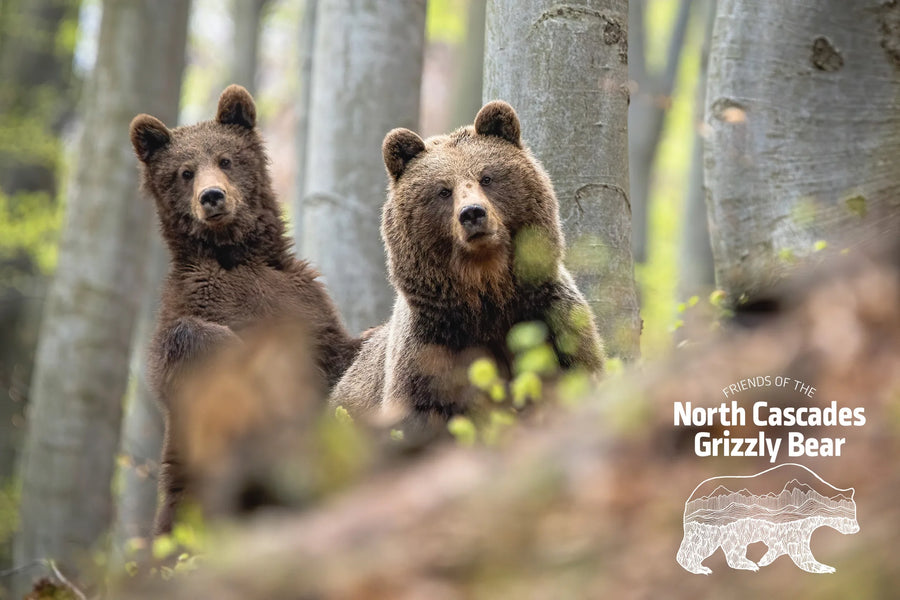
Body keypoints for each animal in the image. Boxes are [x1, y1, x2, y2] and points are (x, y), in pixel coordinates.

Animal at [129, 84, 358, 536]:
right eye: (184, 171)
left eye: (226, 159)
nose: (212, 196)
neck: (235, 256)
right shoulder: (194, 301)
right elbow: (185, 348)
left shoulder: (303, 303)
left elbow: (337, 351)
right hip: (188, 497)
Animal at [330, 101, 604, 438]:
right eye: (443, 190)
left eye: (487, 177)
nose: (472, 213)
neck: (487, 294)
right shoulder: (430, 352)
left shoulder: (551, 322)